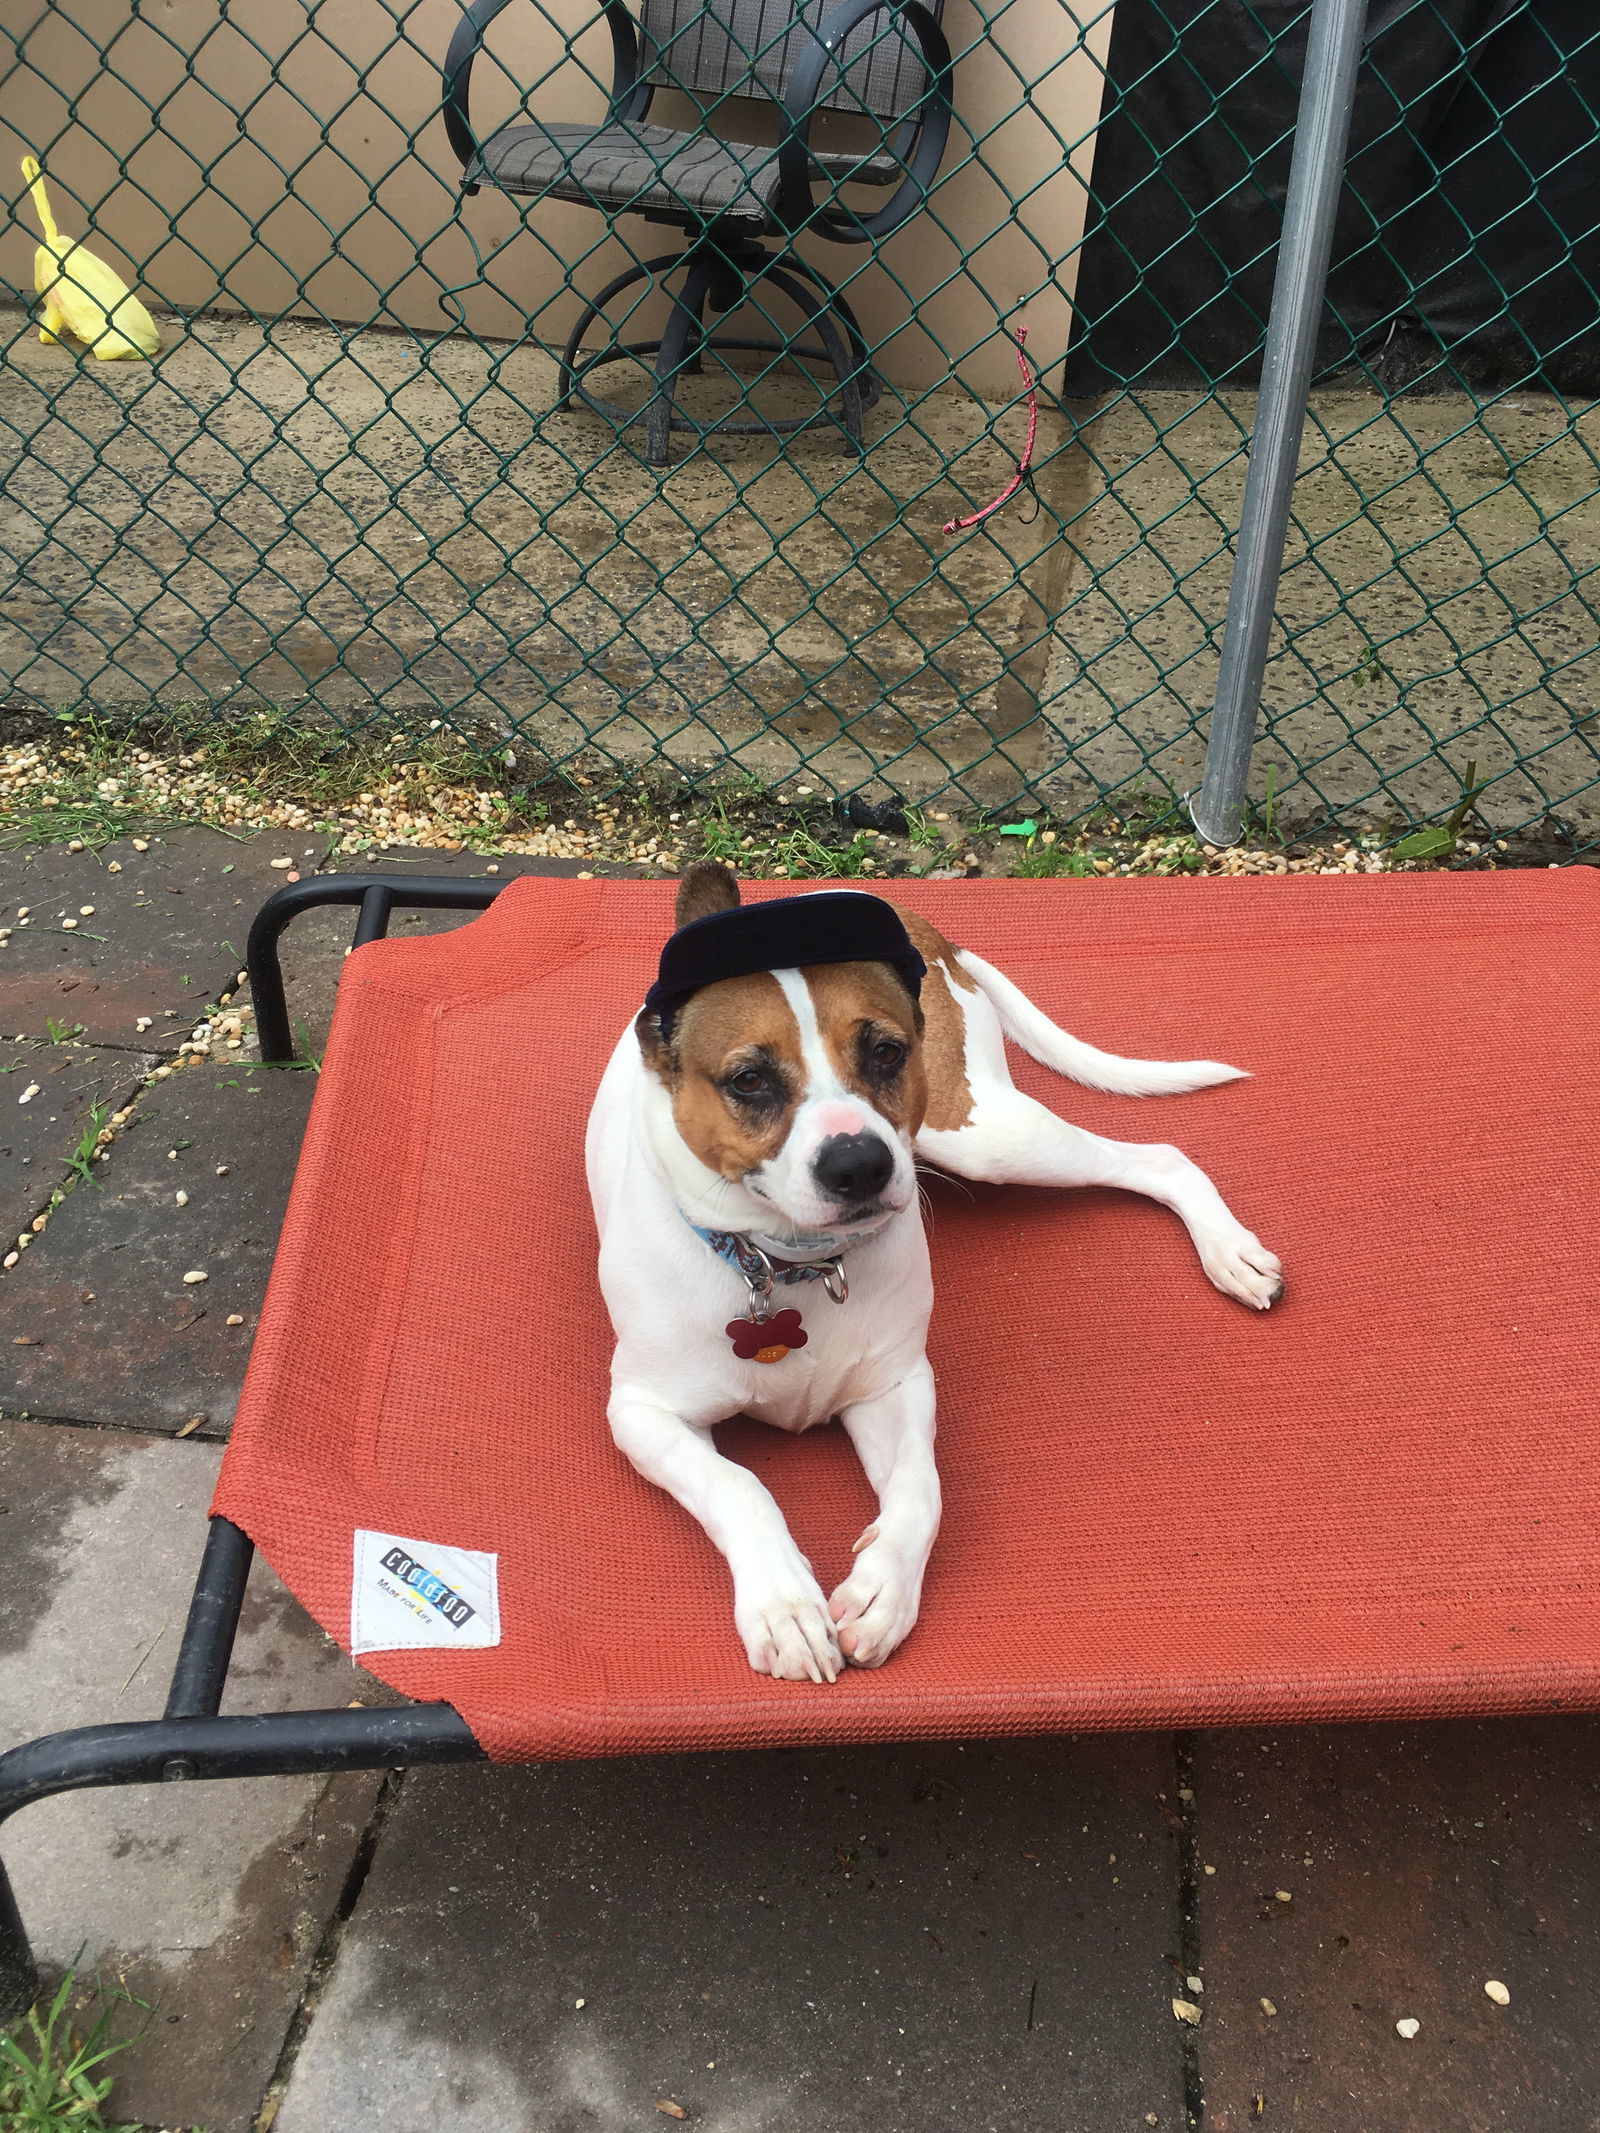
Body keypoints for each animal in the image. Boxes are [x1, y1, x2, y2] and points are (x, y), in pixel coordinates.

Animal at [584, 861, 1288, 1680]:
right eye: (749, 1079)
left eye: (886, 1052)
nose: (860, 1163)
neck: (789, 1270)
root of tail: (916, 918)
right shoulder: (643, 1414)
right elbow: (738, 1484)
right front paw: (784, 1605)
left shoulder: (896, 1385)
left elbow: (923, 1487)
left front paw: (884, 1589)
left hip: (980, 1132)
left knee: (1160, 1157)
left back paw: (1228, 1249)